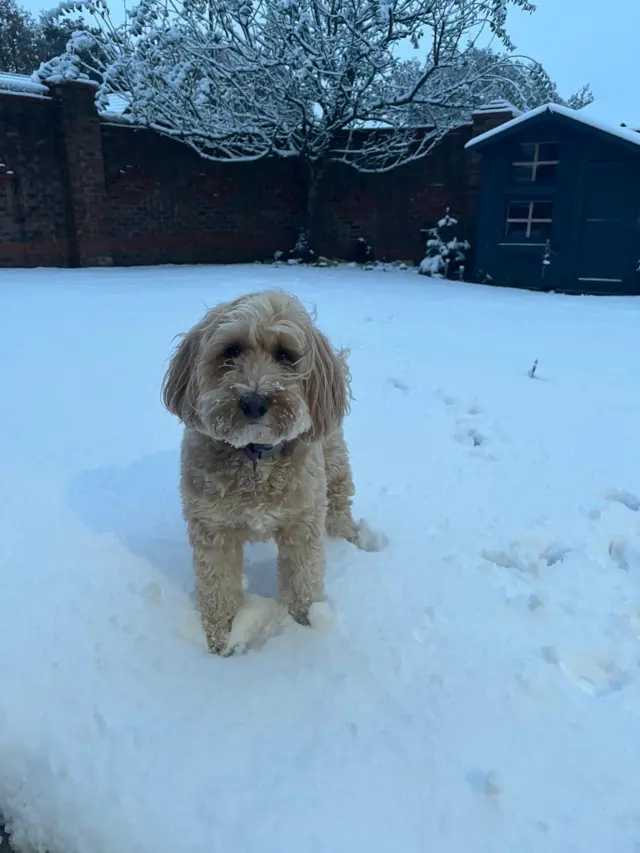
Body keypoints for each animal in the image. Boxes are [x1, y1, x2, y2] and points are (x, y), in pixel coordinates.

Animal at [162, 290, 382, 656]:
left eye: (285, 355)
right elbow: (218, 588)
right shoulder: (212, 529)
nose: (254, 402)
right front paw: (221, 643)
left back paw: (351, 537)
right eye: (231, 351)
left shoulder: (302, 522)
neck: (255, 455)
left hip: (333, 459)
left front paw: (307, 629)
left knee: (339, 498)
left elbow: (302, 579)